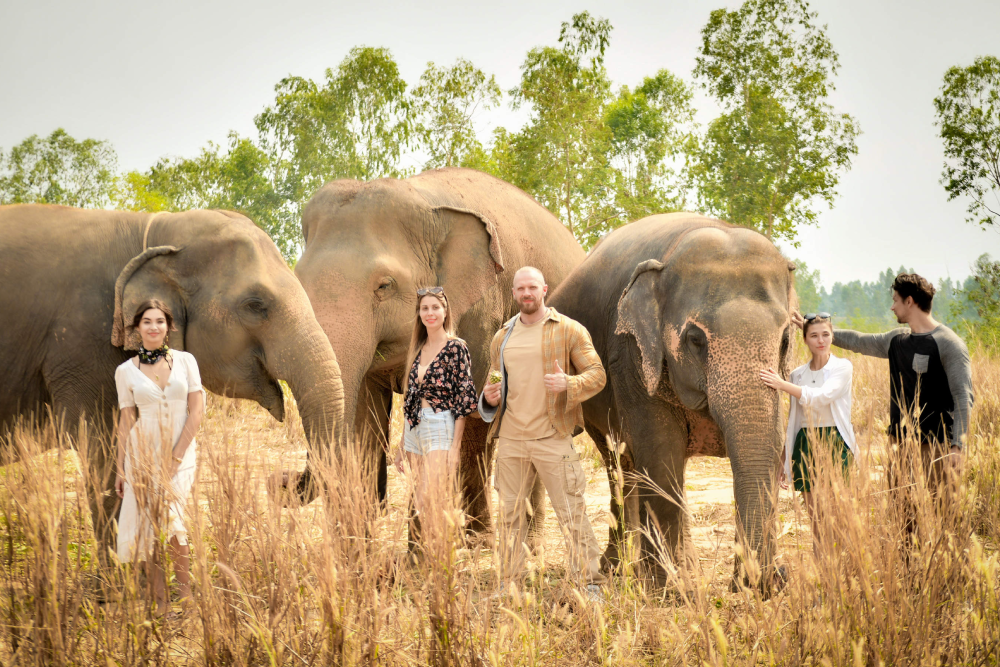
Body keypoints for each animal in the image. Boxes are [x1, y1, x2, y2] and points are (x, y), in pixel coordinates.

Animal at [0, 204, 346, 553]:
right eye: (255, 305)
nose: (280, 480)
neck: (153, 230)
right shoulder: (83, 348)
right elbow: (112, 456)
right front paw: (127, 567)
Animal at [292, 167, 586, 532]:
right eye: (298, 280)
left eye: (384, 285)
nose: (278, 480)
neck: (427, 203)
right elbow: (363, 420)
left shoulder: (479, 312)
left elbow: (469, 415)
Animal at [547, 212, 795, 589]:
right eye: (695, 339)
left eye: (785, 341)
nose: (773, 578)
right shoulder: (630, 355)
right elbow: (661, 452)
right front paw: (672, 590)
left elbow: (770, 444)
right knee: (619, 463)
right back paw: (618, 571)